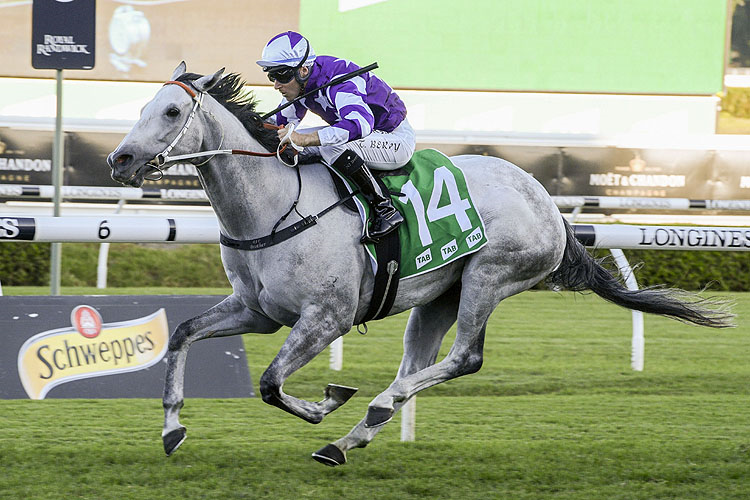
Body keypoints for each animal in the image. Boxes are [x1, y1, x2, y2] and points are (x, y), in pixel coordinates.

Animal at [107, 64, 736, 466]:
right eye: (140, 107)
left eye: (170, 110)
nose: (120, 159)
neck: (275, 203)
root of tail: (548, 206)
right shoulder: (257, 312)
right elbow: (184, 333)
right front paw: (172, 429)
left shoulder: (326, 318)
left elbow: (270, 383)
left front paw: (325, 400)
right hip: (437, 297)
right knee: (418, 365)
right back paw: (349, 440)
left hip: (489, 277)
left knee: (463, 358)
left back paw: (373, 409)